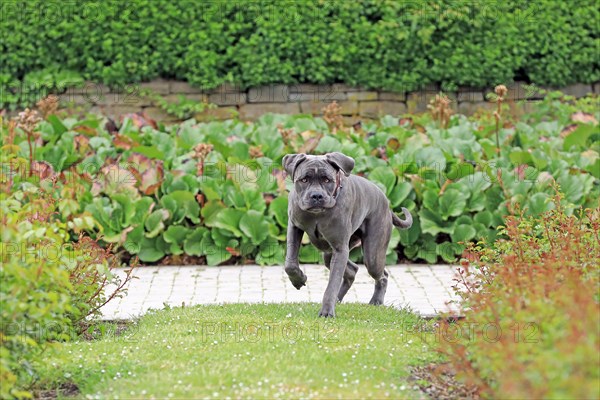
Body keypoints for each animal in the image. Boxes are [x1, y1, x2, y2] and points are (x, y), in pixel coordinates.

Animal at [282, 152, 412, 318]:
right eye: (304, 180)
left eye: (327, 180)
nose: (317, 196)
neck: (318, 215)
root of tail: (387, 203)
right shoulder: (294, 227)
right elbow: (290, 264)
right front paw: (299, 280)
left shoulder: (340, 249)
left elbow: (333, 282)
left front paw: (326, 311)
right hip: (330, 253)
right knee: (352, 270)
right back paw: (338, 298)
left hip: (372, 256)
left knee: (382, 275)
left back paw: (376, 301)